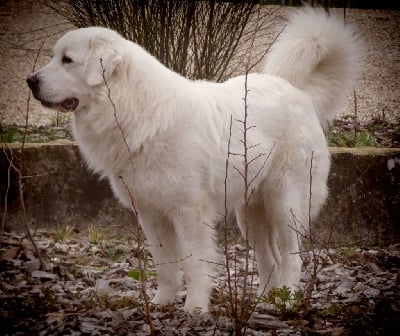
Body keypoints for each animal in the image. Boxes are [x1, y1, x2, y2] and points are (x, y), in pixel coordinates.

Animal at [27, 7, 360, 312]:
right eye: (55, 57)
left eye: (67, 60)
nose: (30, 81)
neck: (132, 107)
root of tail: (297, 91)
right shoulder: (151, 214)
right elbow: (165, 265)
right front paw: (161, 304)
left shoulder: (189, 213)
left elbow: (194, 265)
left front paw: (195, 310)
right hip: (250, 213)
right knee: (270, 259)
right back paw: (265, 301)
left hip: (284, 201)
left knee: (291, 257)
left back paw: (287, 301)